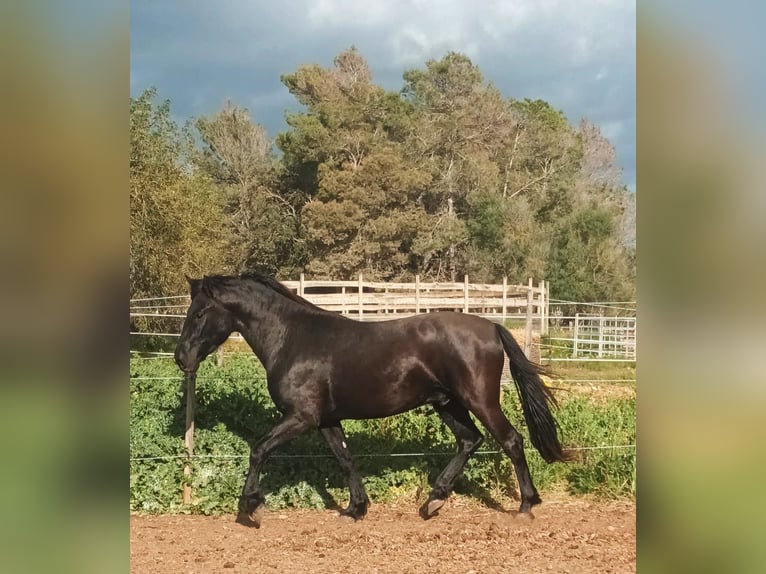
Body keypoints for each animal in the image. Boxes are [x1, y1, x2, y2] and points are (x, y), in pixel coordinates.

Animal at [176, 272, 568, 528]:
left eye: (199, 312)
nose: (182, 358)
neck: (292, 338)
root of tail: (492, 327)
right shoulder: (326, 420)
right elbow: (345, 459)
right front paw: (356, 508)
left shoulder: (301, 416)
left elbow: (258, 450)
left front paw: (250, 508)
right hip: (447, 403)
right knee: (470, 440)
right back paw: (434, 500)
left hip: (479, 400)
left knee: (511, 440)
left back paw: (526, 504)